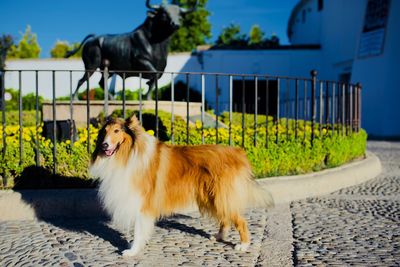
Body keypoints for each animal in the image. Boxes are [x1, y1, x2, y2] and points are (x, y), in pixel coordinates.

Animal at [89, 115, 274, 258]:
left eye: (117, 131)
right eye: (104, 132)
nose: (104, 145)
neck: (128, 154)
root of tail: (238, 152)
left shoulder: (142, 203)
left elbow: (138, 230)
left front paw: (132, 251)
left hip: (221, 195)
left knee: (240, 220)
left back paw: (243, 245)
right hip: (213, 196)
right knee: (225, 218)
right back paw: (219, 236)